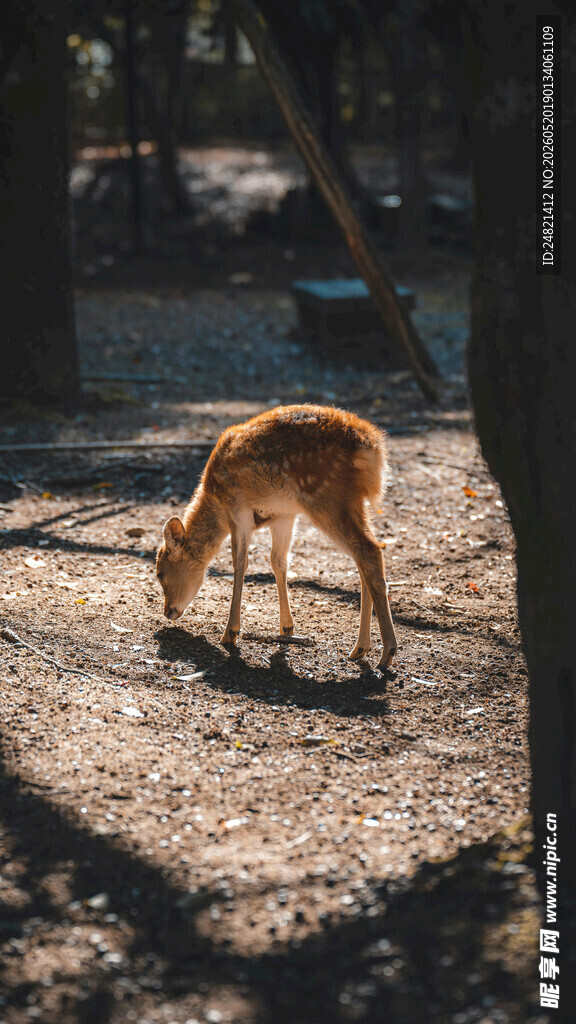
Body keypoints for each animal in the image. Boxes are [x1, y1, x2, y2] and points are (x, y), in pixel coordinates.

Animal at [156, 404, 397, 670]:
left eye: (160, 573)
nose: (168, 611)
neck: (214, 501)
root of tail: (373, 449)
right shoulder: (284, 515)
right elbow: (278, 561)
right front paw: (286, 627)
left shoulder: (237, 509)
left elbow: (240, 562)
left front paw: (230, 632)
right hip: (353, 503)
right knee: (365, 555)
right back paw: (360, 649)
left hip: (327, 498)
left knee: (369, 550)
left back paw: (386, 653)